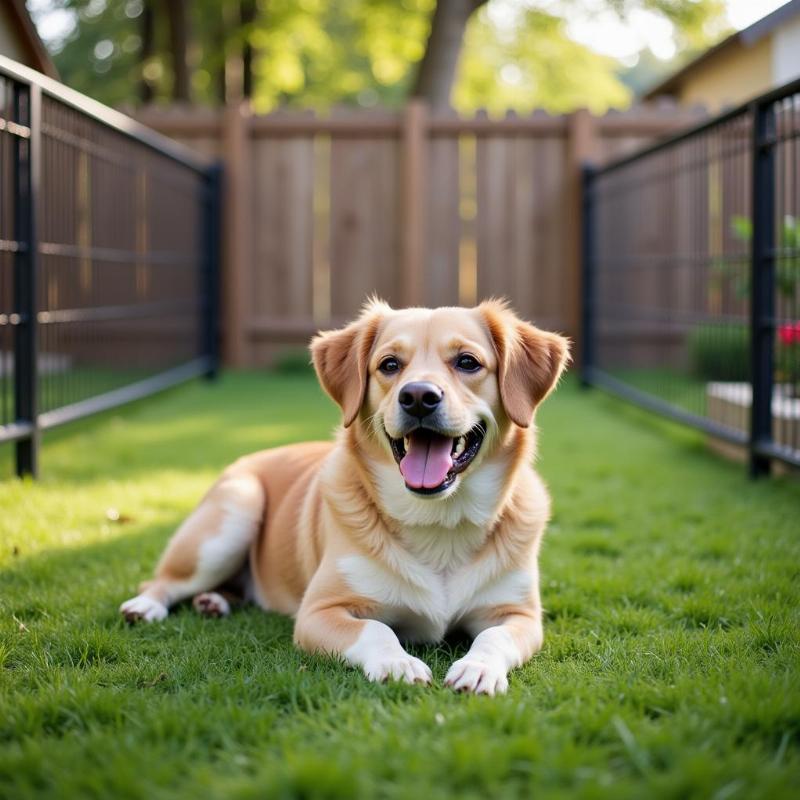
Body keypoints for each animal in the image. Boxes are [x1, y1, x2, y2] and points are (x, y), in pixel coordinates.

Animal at [120, 300, 568, 692]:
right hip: (234, 512)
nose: (418, 397)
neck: (438, 521)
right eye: (390, 364)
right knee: (161, 580)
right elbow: (376, 629)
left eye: (468, 362)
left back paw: (214, 602)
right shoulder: (318, 612)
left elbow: (494, 638)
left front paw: (478, 668)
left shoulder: (520, 615)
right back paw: (147, 605)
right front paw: (398, 662)